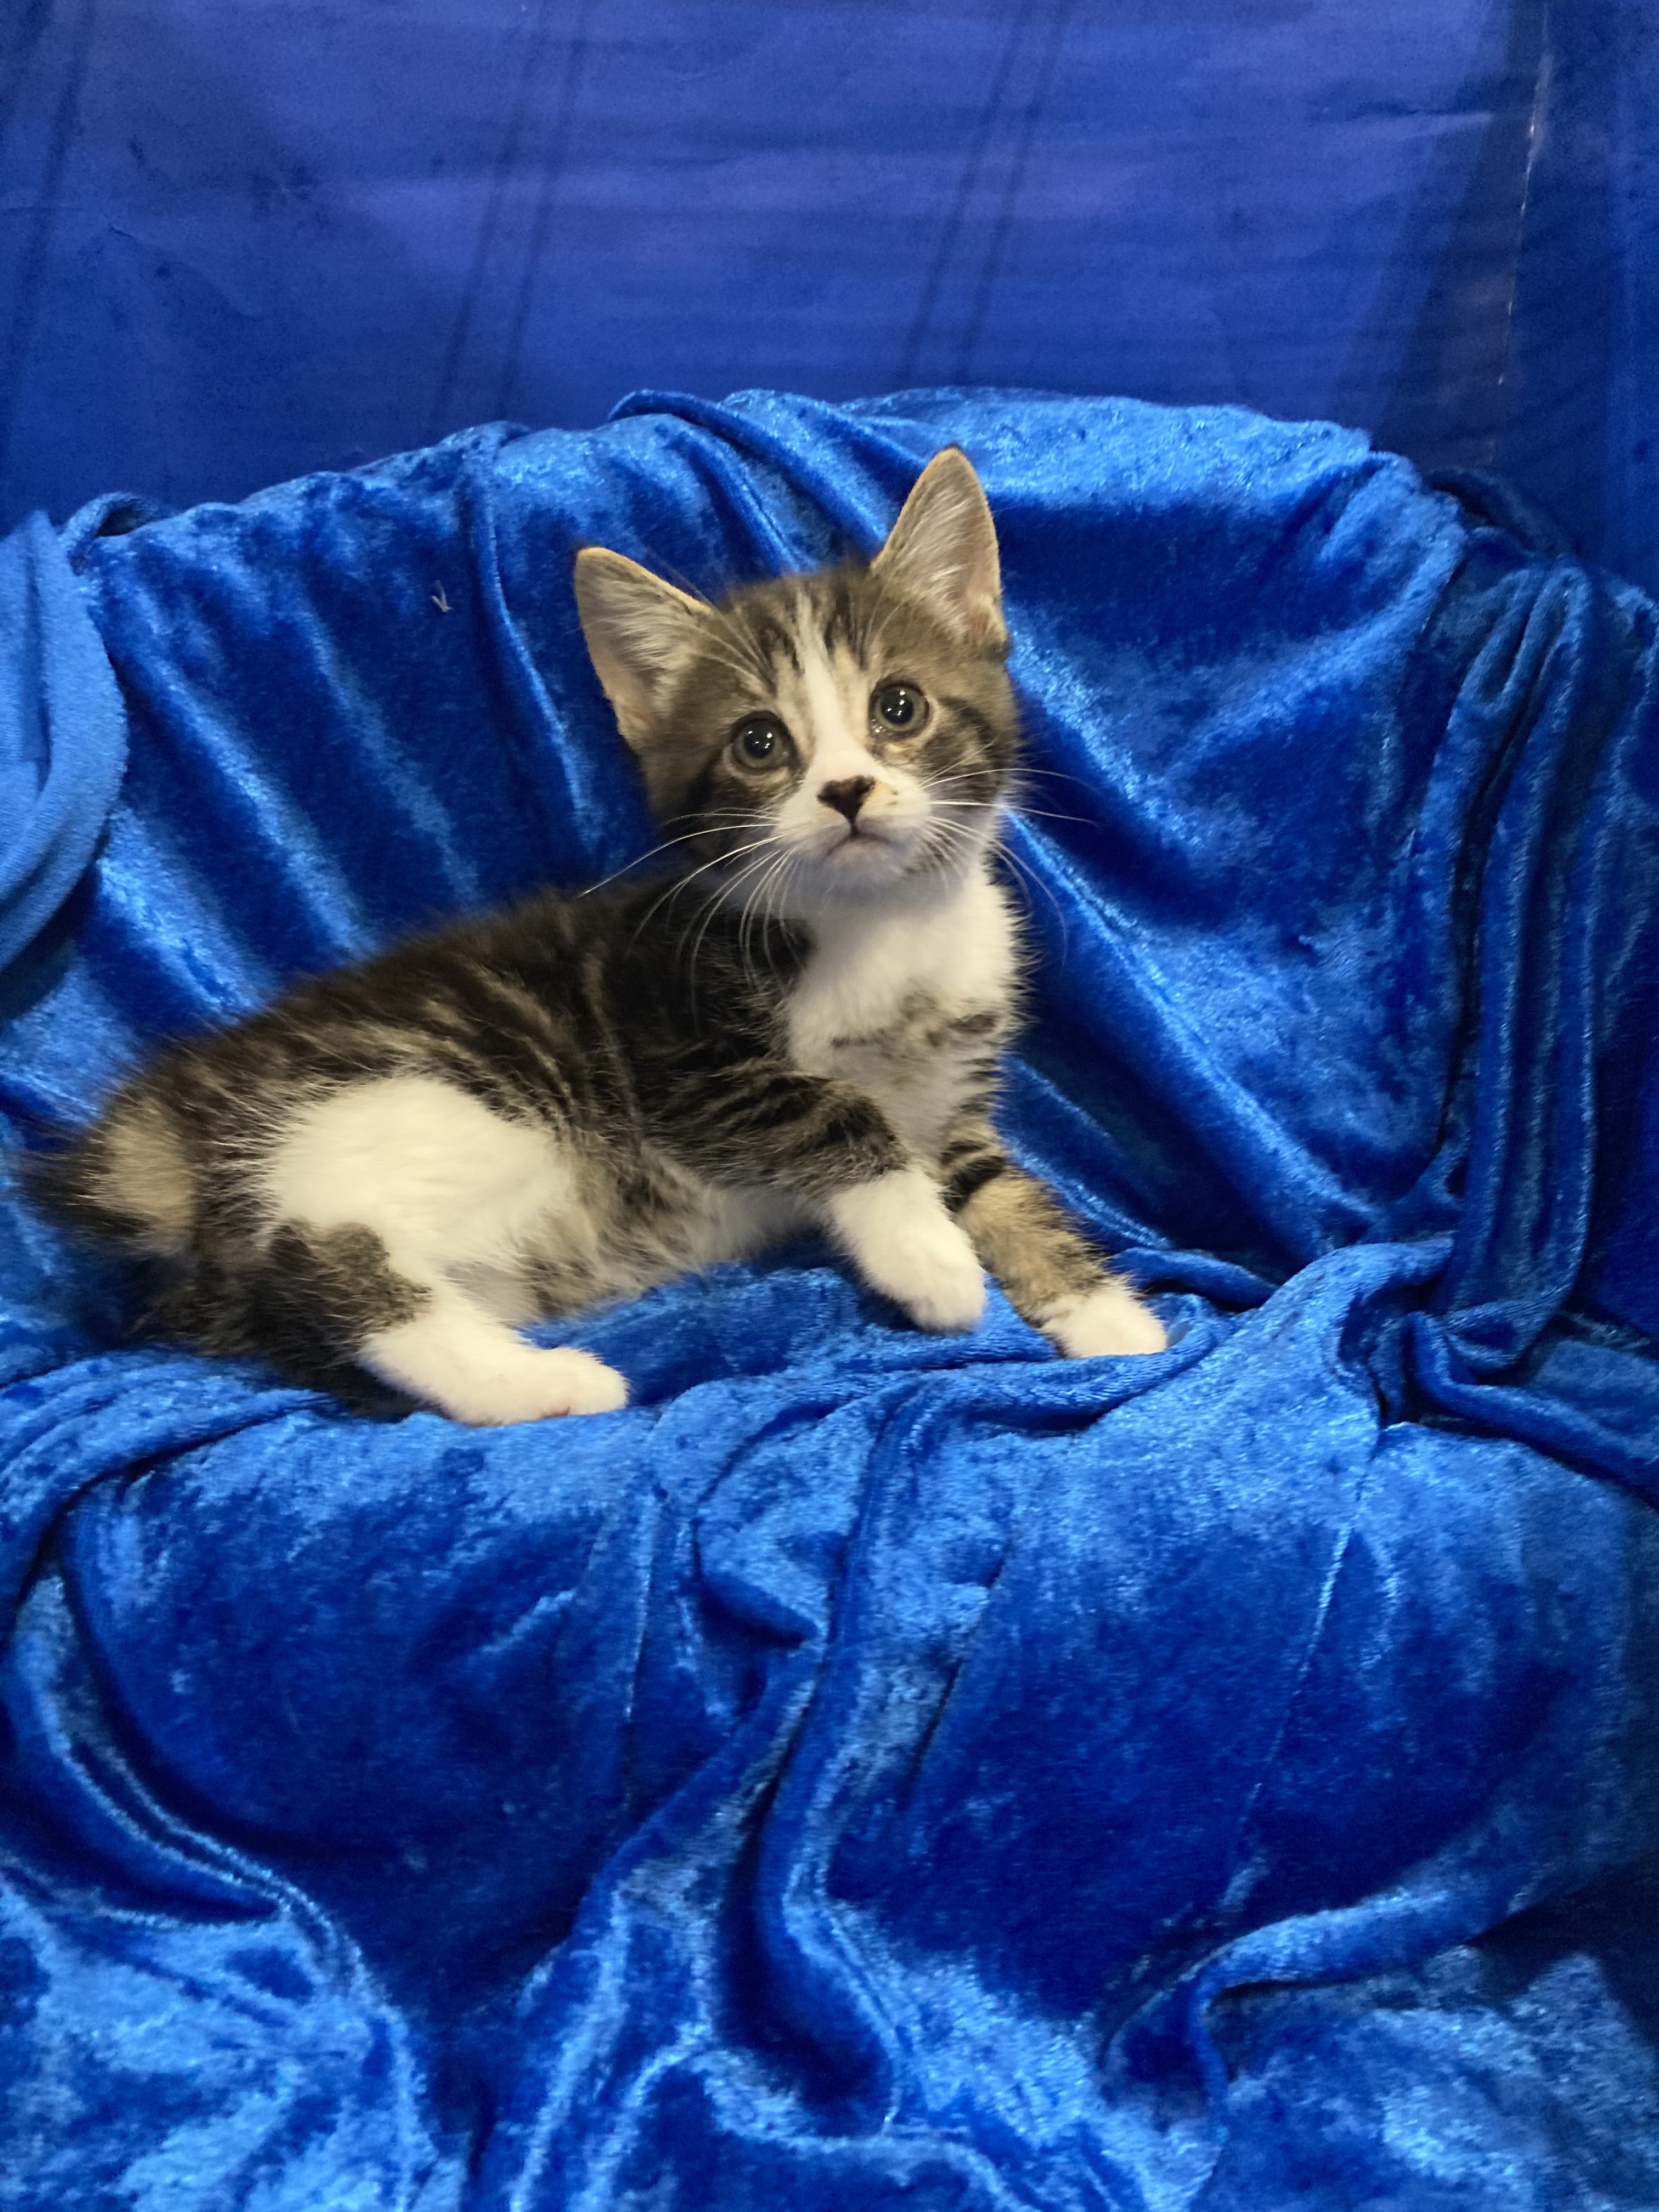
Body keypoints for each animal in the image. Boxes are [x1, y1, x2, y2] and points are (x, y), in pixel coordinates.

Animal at [29, 444, 1167, 1433]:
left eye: (898, 707)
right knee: (317, 1250)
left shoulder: (952, 1105)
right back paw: (547, 1384)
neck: (879, 924)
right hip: (436, 1105)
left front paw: (1103, 1314)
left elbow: (1001, 1187)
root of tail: (181, 1129)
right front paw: (931, 1264)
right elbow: (833, 1110)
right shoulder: (685, 1050)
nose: (845, 791)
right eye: (761, 743)